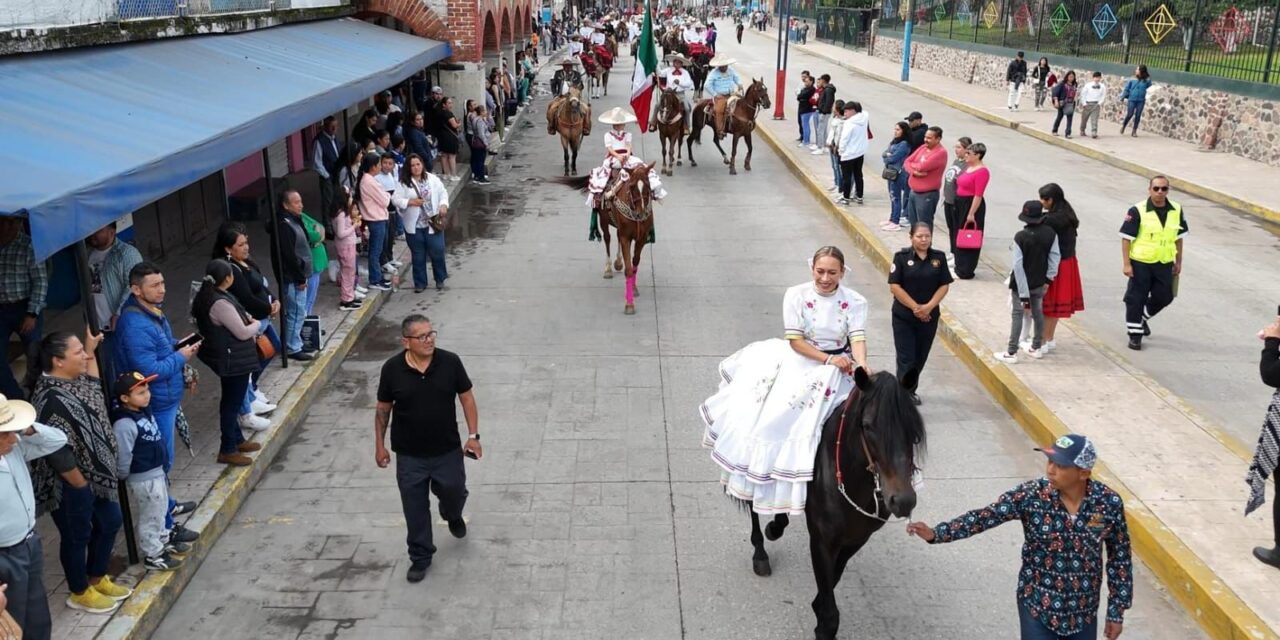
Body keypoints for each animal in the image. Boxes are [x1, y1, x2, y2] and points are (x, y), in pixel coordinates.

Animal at [747, 366, 926, 640]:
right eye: (867, 426)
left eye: (913, 429)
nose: (903, 500)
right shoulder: (822, 539)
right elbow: (831, 613)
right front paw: (823, 621)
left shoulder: (856, 539)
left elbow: (832, 580)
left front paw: (818, 608)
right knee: (751, 506)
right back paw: (761, 553)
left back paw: (777, 524)